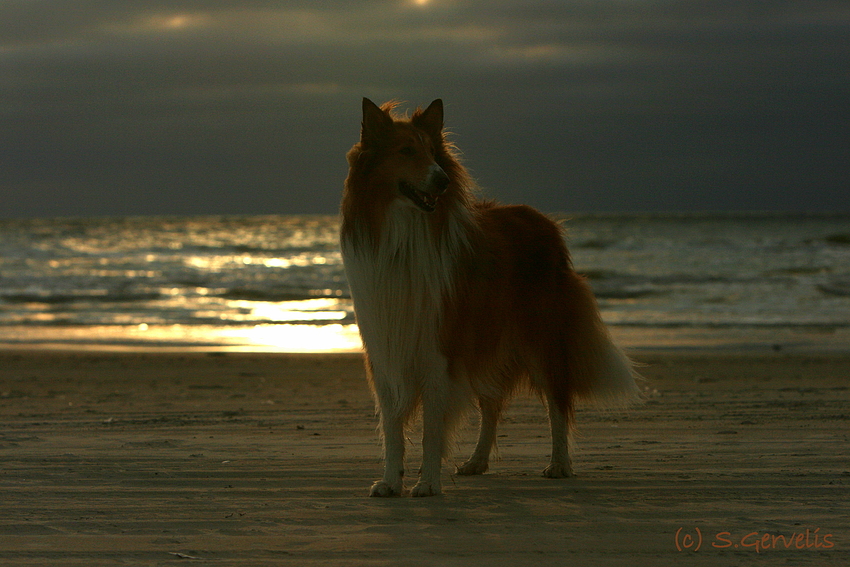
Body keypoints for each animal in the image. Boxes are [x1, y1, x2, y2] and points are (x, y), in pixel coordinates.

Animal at [342, 97, 640, 496]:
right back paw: (477, 461)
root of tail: (546, 222)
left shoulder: (439, 349)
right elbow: (393, 427)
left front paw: (428, 483)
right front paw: (391, 481)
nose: (443, 180)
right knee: (493, 403)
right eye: (405, 150)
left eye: (433, 152)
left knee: (558, 402)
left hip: (541, 338)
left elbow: (432, 427)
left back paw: (559, 464)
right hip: (488, 341)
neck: (403, 237)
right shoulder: (386, 348)